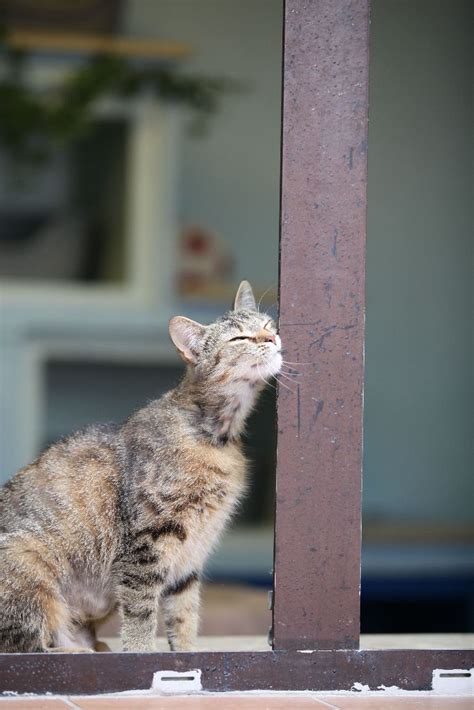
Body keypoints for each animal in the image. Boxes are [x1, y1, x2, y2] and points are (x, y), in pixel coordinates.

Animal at [0, 280, 282, 652]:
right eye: (240, 338)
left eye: (268, 325)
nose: (273, 338)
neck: (215, 433)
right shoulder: (146, 545)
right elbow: (140, 615)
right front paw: (141, 654)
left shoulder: (190, 555)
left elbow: (185, 615)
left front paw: (186, 653)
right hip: (29, 560)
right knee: (31, 642)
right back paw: (76, 649)